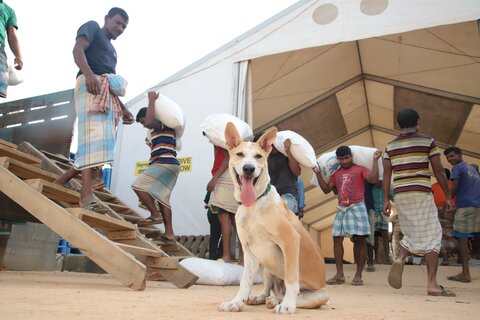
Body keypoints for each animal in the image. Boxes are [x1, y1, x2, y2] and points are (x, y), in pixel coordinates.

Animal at [219, 123, 328, 316]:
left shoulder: (290, 240)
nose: (248, 168)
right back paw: (261, 298)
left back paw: (279, 301)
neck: (254, 205)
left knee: (296, 296)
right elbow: (245, 281)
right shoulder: (249, 249)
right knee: (269, 288)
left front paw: (288, 305)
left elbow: (291, 278)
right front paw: (236, 302)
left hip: (320, 295)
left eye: (258, 156)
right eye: (239, 154)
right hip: (266, 264)